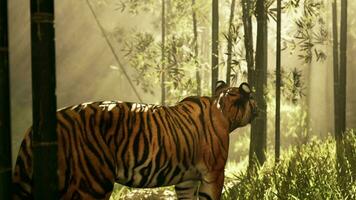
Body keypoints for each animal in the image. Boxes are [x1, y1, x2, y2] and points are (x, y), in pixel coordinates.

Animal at [12, 81, 258, 200]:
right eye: (253, 98)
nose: (260, 105)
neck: (223, 106)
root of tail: (32, 129)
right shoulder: (214, 174)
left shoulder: (186, 180)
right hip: (92, 184)